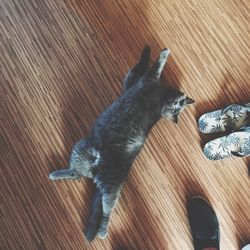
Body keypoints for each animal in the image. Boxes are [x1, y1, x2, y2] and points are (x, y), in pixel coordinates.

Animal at [48, 46, 193, 241]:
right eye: (178, 106)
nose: (177, 105)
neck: (162, 96)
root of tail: (96, 169)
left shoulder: (148, 79)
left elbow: (156, 65)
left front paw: (162, 52)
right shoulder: (133, 82)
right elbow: (140, 67)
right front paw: (147, 51)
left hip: (111, 184)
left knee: (106, 208)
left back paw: (102, 231)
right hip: (80, 149)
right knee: (76, 174)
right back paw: (55, 174)